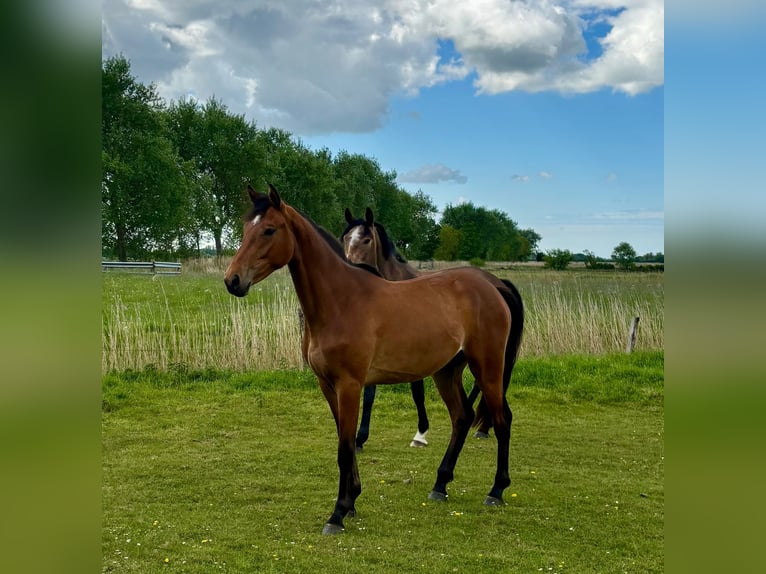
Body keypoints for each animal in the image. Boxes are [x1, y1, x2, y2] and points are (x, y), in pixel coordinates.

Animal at [341, 207, 524, 440]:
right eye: (345, 238)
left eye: (366, 240)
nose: (350, 268)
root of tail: (499, 284)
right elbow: (371, 393)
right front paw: (361, 436)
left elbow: (415, 392)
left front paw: (420, 432)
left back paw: (481, 425)